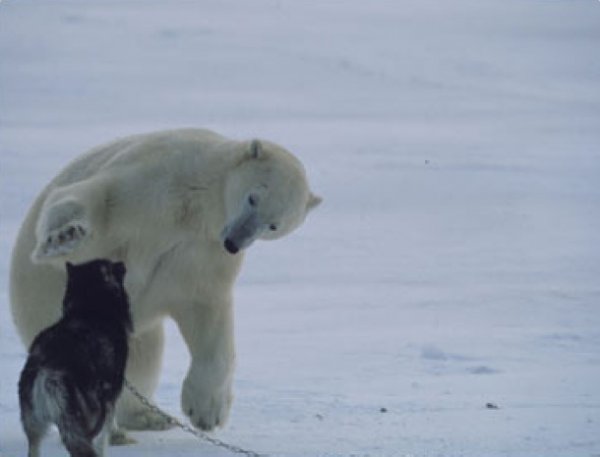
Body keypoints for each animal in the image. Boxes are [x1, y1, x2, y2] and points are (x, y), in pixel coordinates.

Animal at [9, 127, 322, 434]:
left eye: (274, 225)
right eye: (253, 197)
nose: (235, 242)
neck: (197, 206)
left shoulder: (202, 251)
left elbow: (206, 312)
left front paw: (207, 412)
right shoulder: (150, 183)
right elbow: (95, 202)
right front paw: (63, 237)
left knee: (143, 357)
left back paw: (148, 417)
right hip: (42, 306)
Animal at [18, 260, 132, 456]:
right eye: (110, 265)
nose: (122, 263)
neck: (88, 310)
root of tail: (48, 373)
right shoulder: (108, 403)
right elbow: (103, 440)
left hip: (34, 425)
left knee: (34, 447)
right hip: (83, 421)